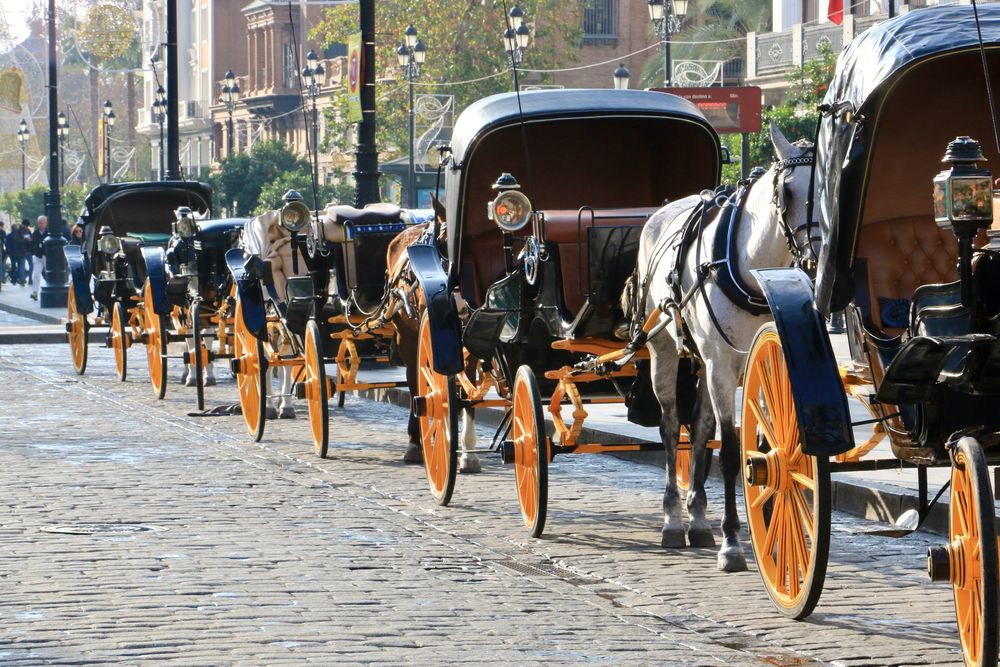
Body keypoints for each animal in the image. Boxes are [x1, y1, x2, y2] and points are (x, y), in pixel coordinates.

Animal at [636, 126, 816, 576]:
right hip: (664, 351)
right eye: (787, 190)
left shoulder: (766, 360)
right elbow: (733, 452)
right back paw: (672, 518)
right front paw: (733, 541)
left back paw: (698, 517)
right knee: (670, 426)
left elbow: (761, 440)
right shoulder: (721, 365)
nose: (813, 256)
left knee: (700, 428)